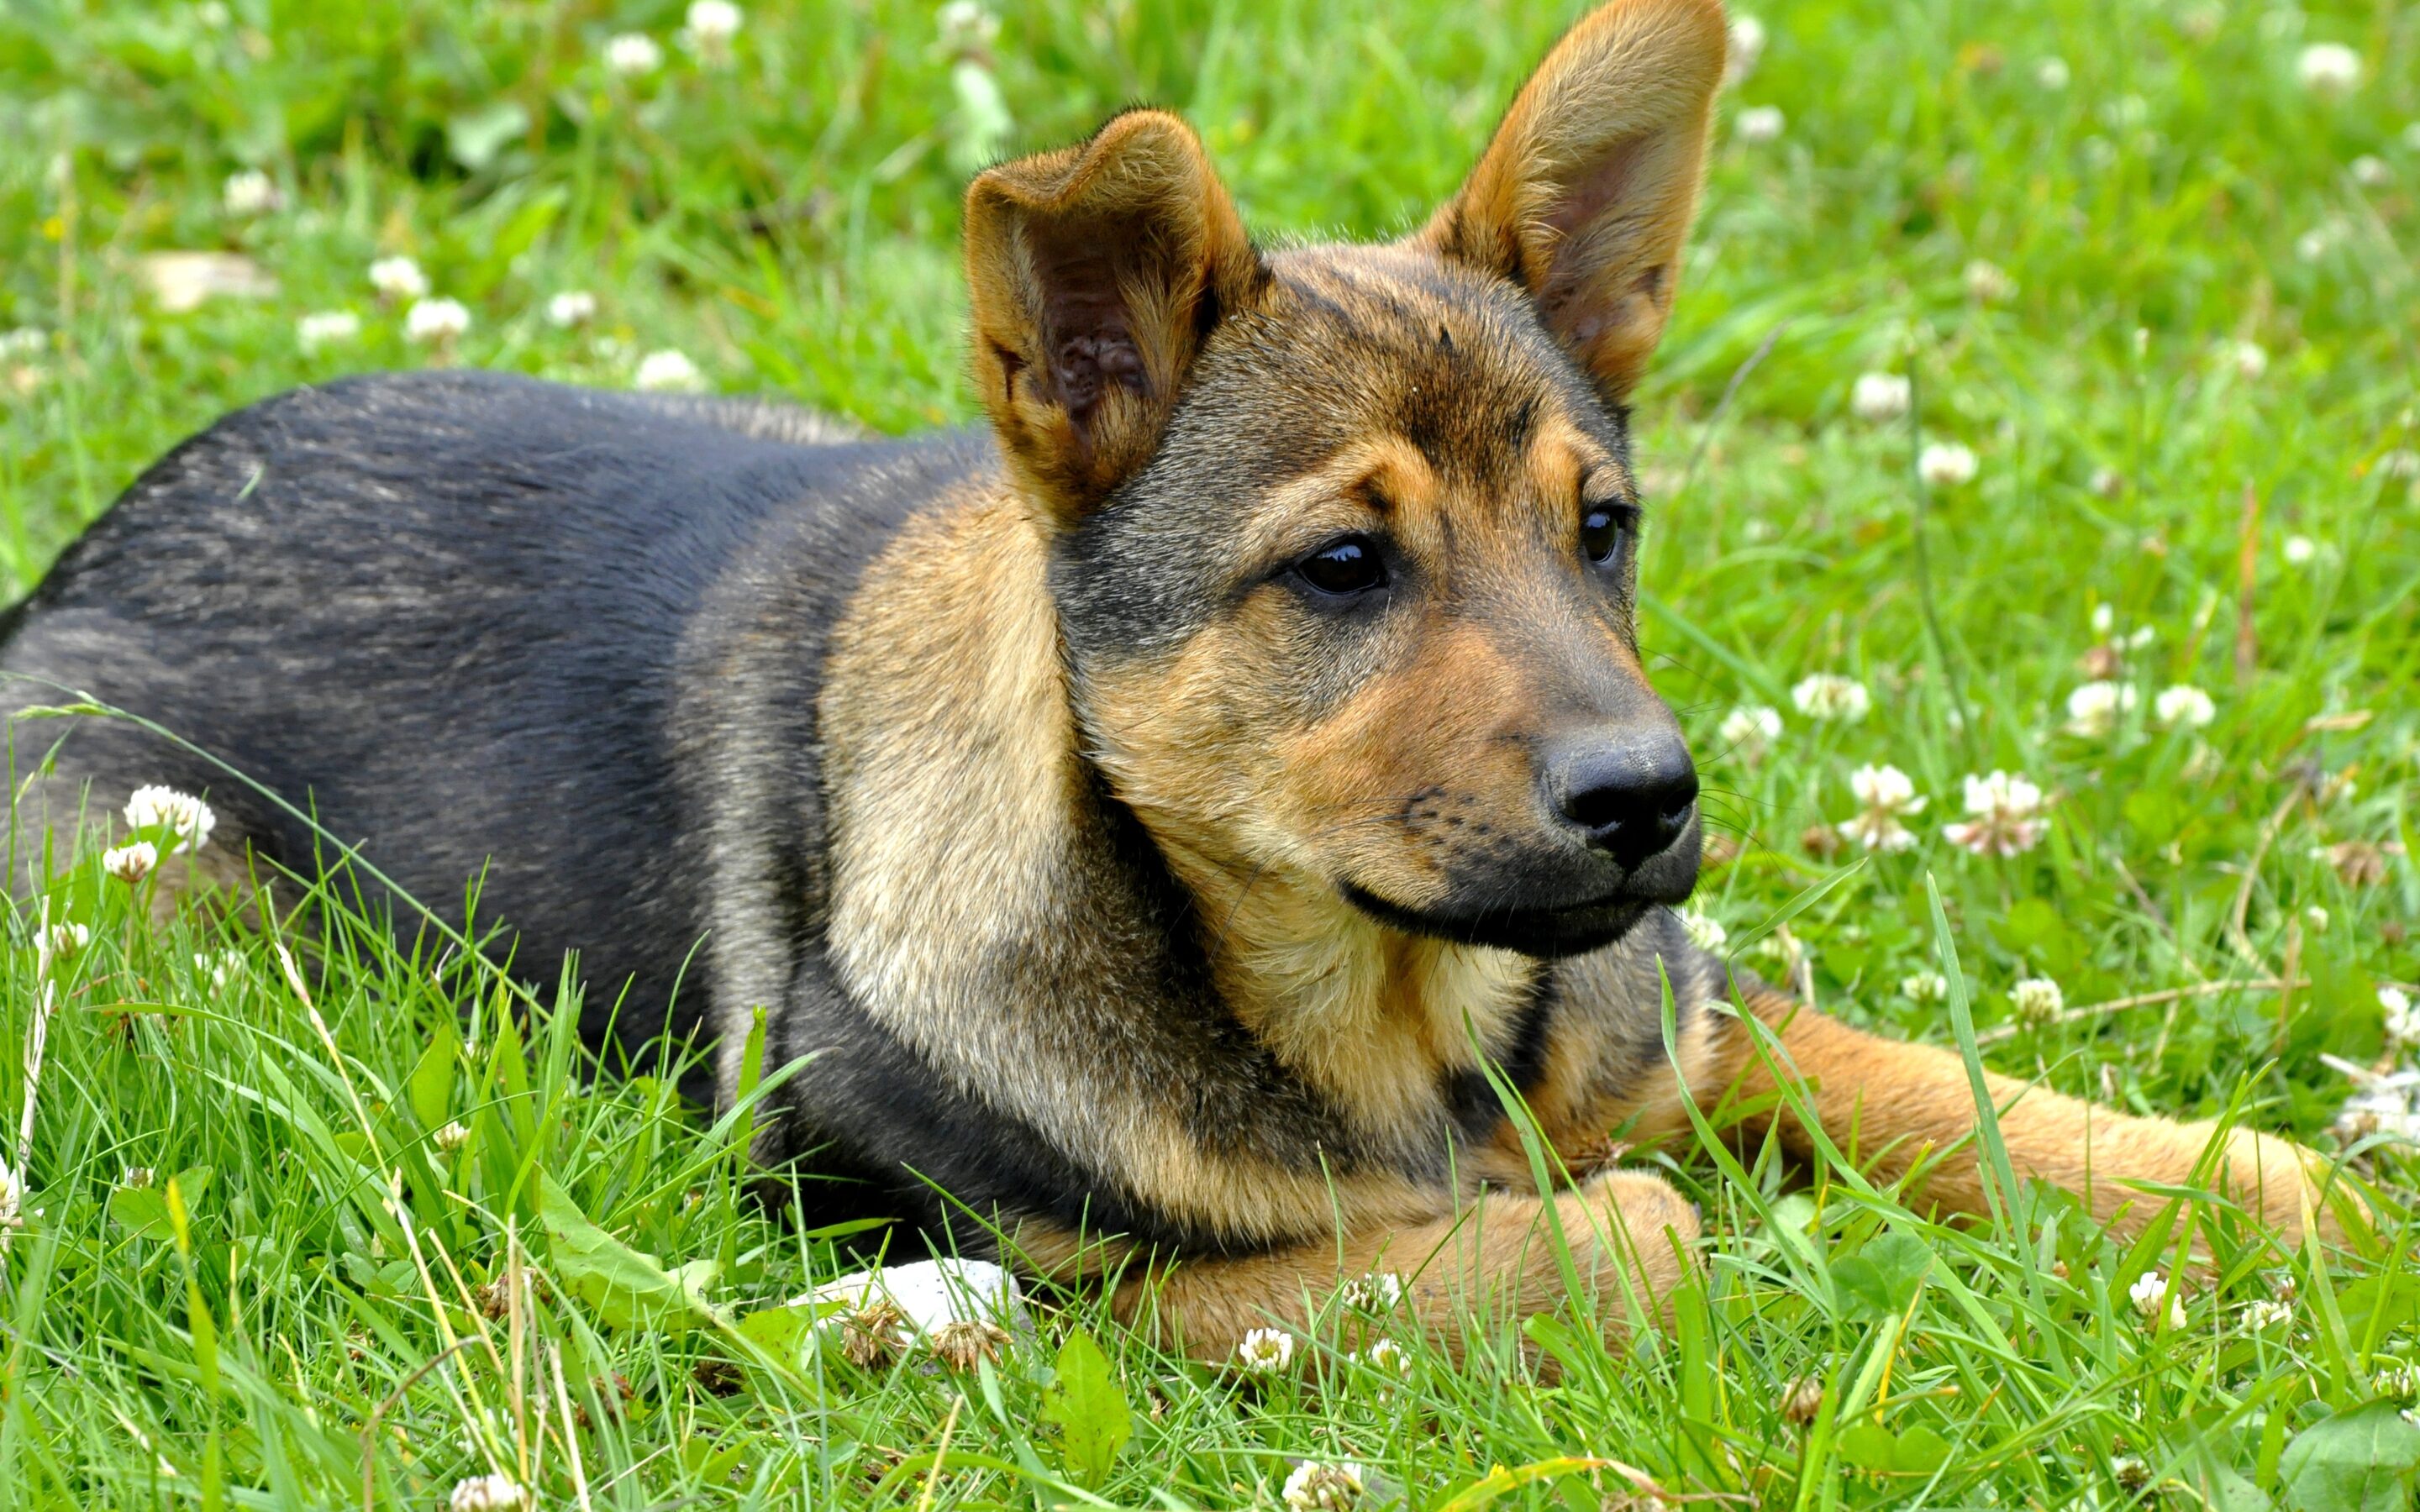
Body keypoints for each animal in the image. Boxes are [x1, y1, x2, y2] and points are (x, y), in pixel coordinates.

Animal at [0, 0, 2323, 1354]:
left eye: (1604, 529)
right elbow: (1618, 1234)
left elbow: (1936, 1088)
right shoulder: (1104, 1279)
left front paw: (2269, 1201)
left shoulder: (1668, 1018)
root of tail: (87, 546)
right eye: (1342, 568)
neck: (1390, 1012)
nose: (1650, 803)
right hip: (169, 895)